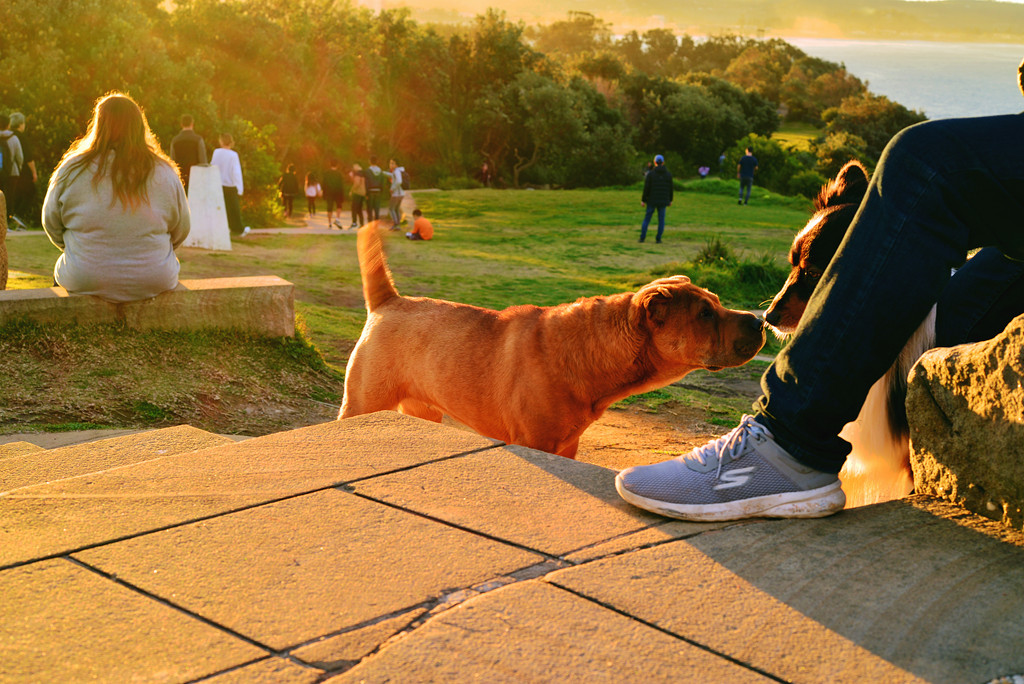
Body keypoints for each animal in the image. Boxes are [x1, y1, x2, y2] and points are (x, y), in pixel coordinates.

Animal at [339, 225, 765, 458]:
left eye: (717, 301)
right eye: (705, 314)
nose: (760, 322)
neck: (591, 352)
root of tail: (390, 300)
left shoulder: (568, 445)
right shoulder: (536, 441)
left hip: (423, 408)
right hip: (363, 401)